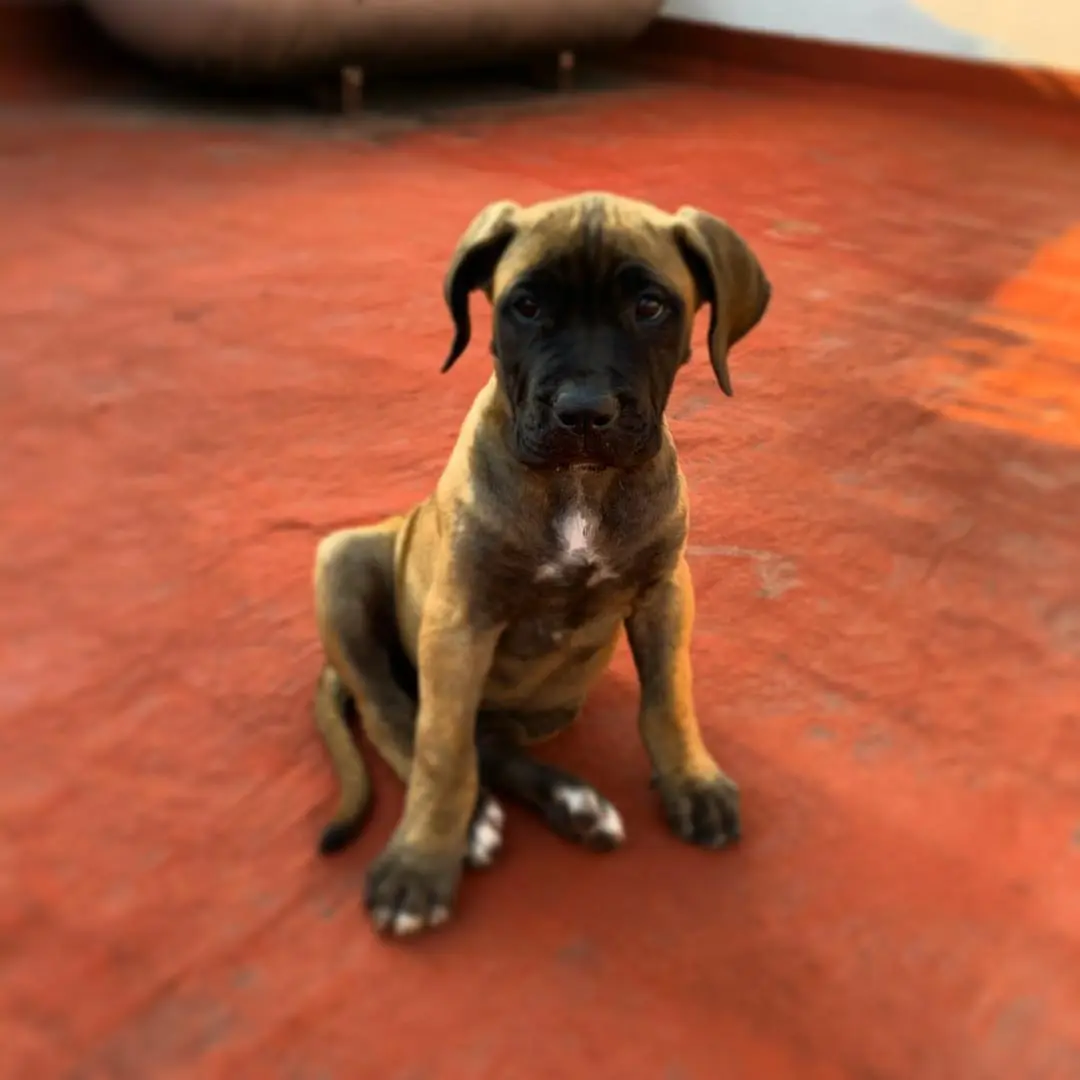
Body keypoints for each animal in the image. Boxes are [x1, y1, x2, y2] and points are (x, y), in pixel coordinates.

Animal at [312, 192, 770, 937]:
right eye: (524, 306)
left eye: (651, 306)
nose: (584, 412)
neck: (579, 485)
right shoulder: (460, 620)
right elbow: (441, 750)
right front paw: (420, 863)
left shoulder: (665, 591)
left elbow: (669, 697)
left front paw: (691, 782)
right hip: (344, 563)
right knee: (395, 716)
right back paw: (474, 824)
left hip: (546, 702)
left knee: (492, 740)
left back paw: (573, 805)